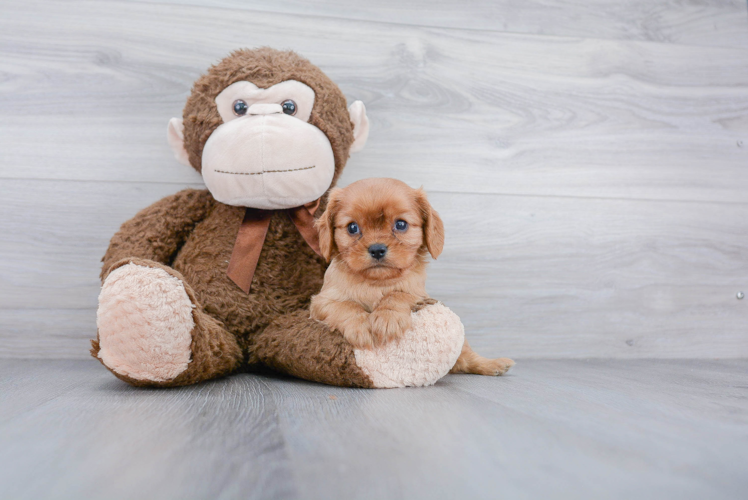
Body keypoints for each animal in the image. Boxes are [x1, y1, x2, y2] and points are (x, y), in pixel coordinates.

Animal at [310, 178, 516, 376]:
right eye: (352, 227)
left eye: (401, 224)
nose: (377, 249)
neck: (377, 282)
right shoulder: (321, 302)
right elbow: (345, 306)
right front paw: (360, 326)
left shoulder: (419, 294)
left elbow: (398, 294)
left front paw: (388, 318)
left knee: (465, 358)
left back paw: (493, 364)